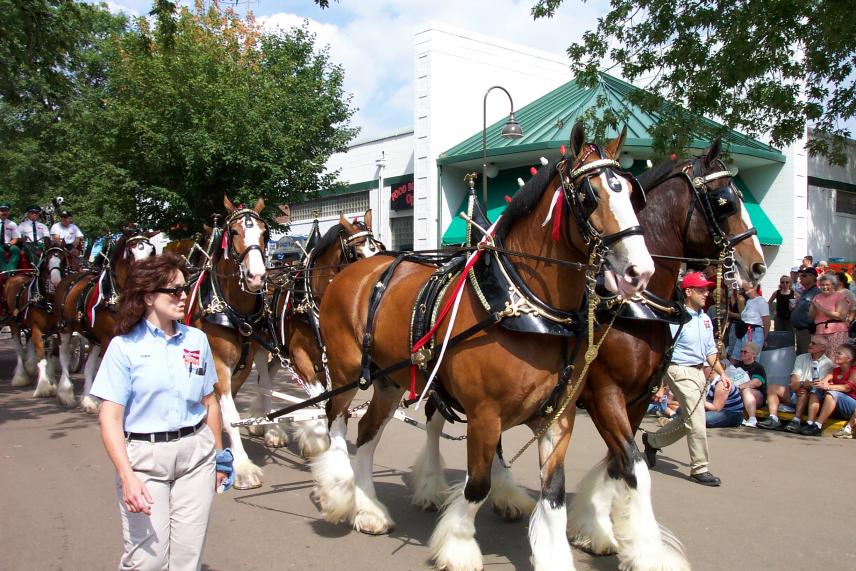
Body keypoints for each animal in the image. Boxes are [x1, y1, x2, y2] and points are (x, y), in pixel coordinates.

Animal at [4, 246, 70, 402]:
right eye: (46, 260)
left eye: (63, 259)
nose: (55, 282)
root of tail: (16, 276)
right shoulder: (36, 329)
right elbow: (42, 357)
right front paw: (44, 386)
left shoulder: (57, 330)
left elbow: (52, 354)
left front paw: (52, 381)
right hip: (14, 323)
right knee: (18, 348)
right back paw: (20, 376)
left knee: (28, 341)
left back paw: (30, 366)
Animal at [52, 230, 157, 413]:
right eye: (130, 251)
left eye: (152, 251)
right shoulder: (109, 338)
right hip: (65, 328)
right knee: (64, 355)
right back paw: (65, 393)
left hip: (94, 336)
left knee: (89, 365)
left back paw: (89, 400)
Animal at [310, 123, 654, 570]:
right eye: (589, 194)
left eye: (630, 192)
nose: (639, 271)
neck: (525, 305)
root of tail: (351, 272)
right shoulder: (485, 415)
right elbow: (477, 485)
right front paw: (457, 546)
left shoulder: (559, 417)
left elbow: (554, 494)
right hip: (347, 372)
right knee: (335, 421)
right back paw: (338, 490)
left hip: (390, 380)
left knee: (367, 431)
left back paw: (367, 508)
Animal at [564, 139, 766, 569]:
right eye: (725, 202)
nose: (757, 266)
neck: (631, 307)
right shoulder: (605, 393)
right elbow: (631, 465)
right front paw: (647, 551)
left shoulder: (639, 397)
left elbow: (619, 464)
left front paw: (596, 527)